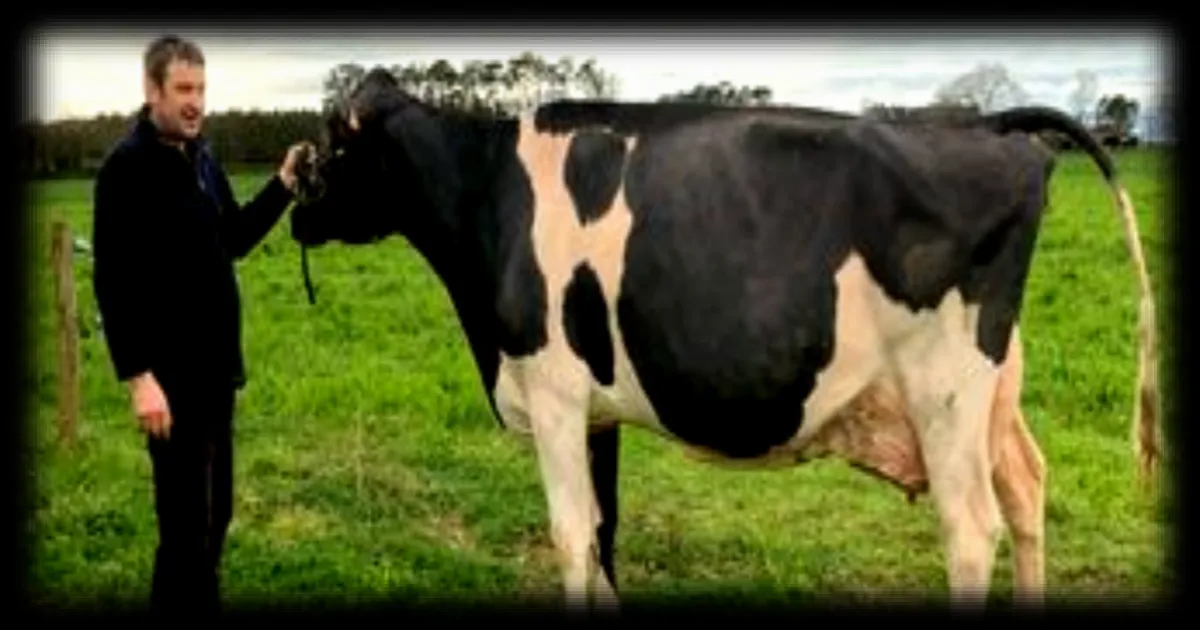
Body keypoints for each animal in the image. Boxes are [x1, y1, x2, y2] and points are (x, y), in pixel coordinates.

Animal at [287, 67, 1161, 612]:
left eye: (332, 141)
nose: (294, 201)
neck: (490, 197)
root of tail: (987, 124)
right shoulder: (598, 409)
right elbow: (604, 534)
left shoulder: (556, 392)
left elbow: (570, 538)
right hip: (994, 387)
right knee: (1026, 487)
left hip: (944, 389)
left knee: (971, 530)